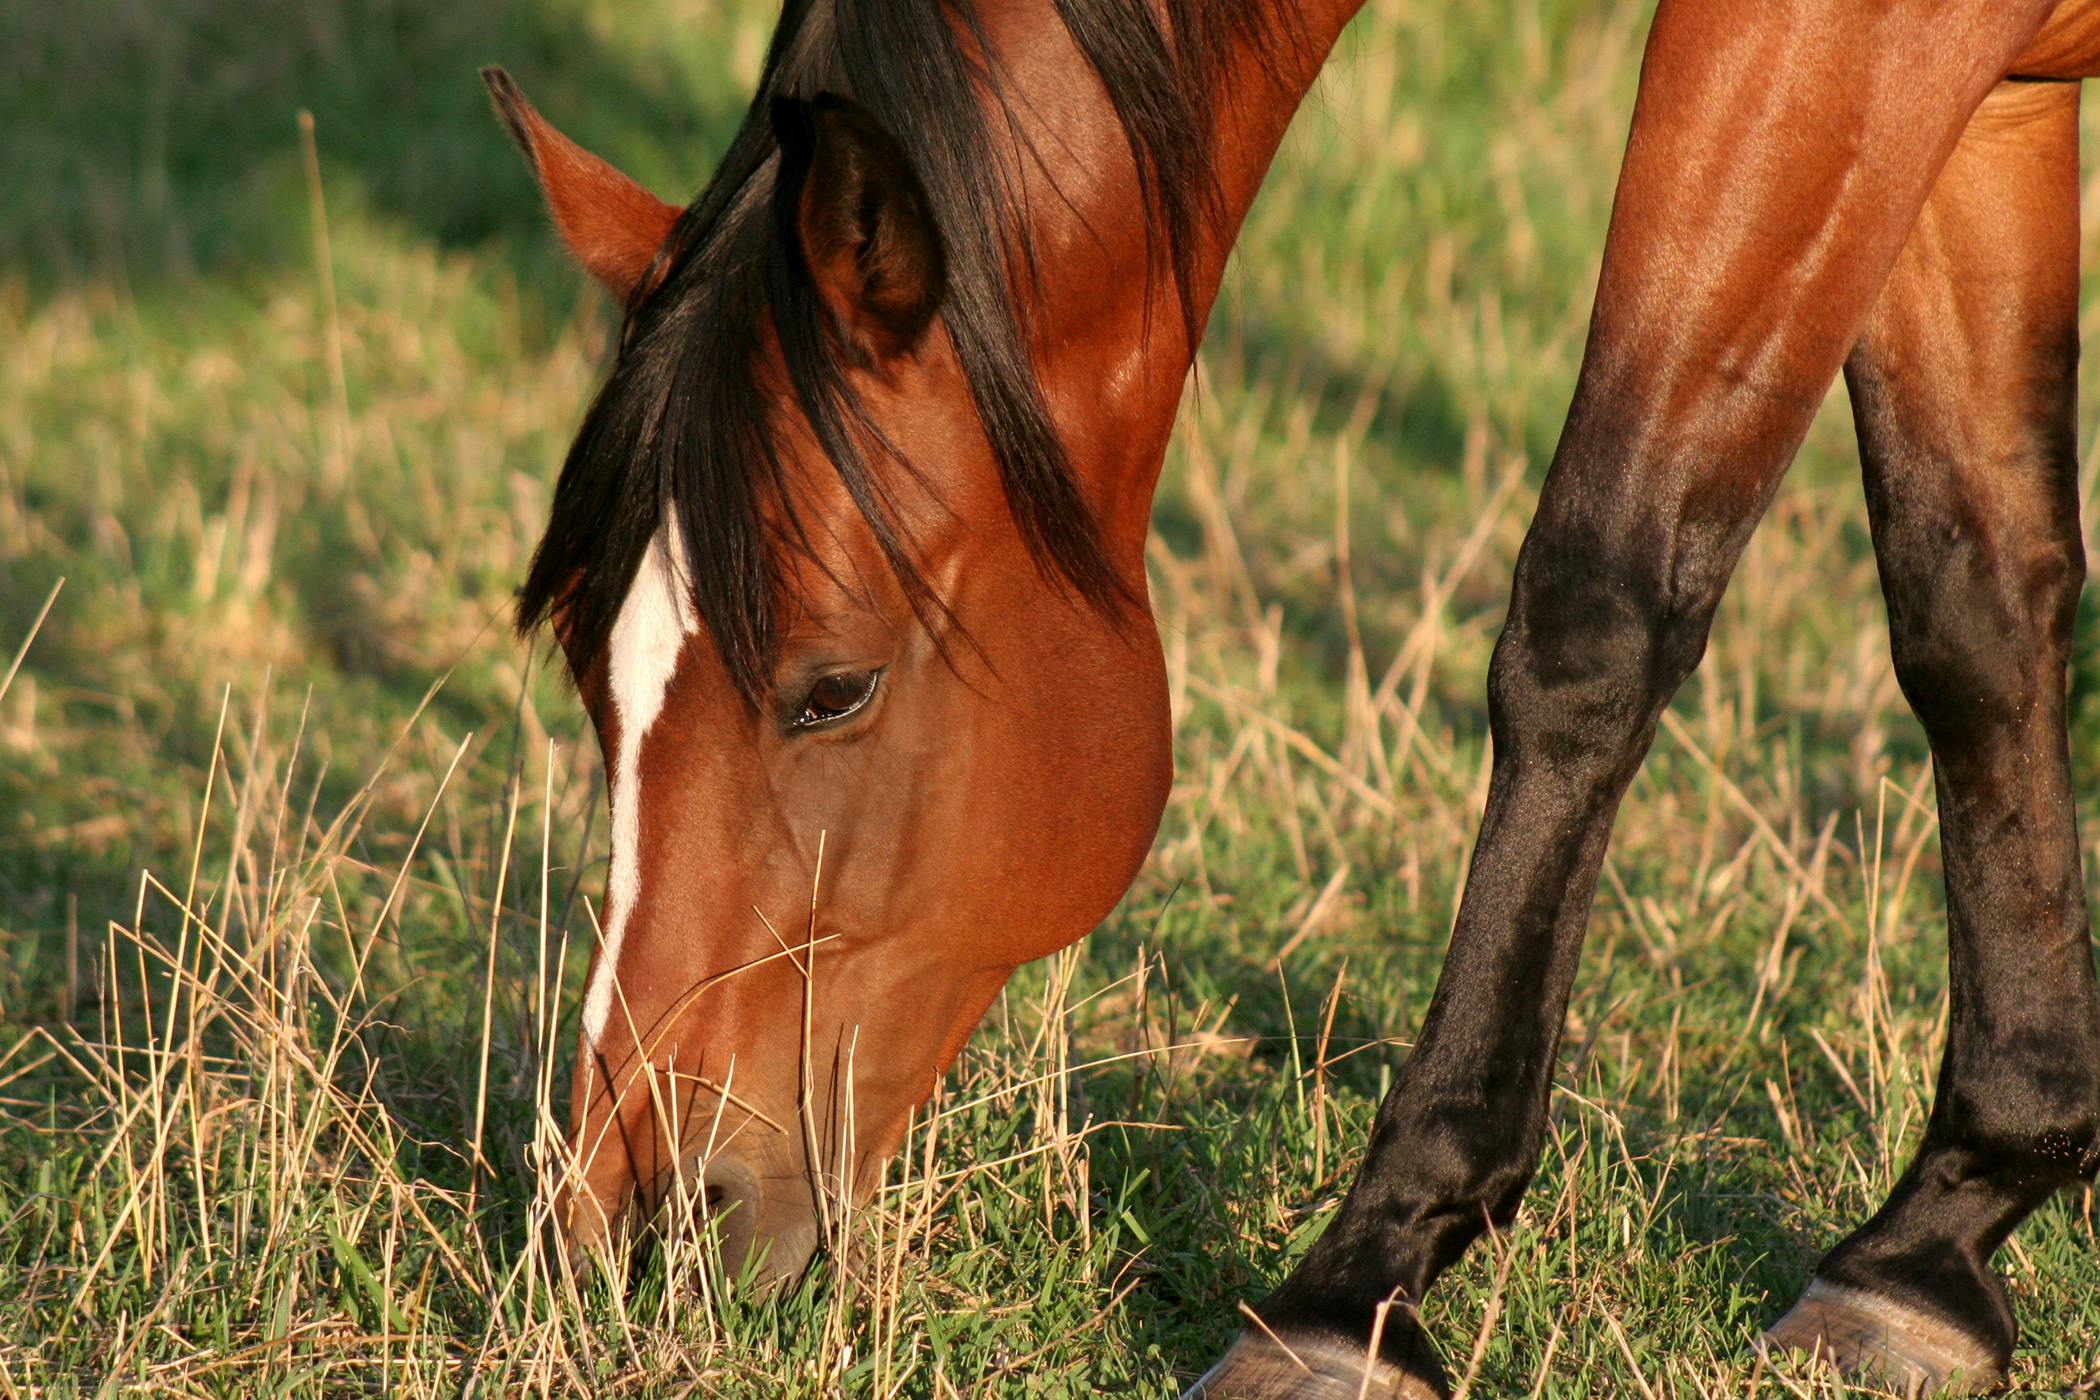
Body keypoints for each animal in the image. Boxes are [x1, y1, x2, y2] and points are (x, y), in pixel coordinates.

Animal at [482, 0, 2100, 1393]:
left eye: (833, 689)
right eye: (593, 685)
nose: (633, 1222)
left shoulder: (1835, 40)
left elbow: (1595, 611)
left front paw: (1356, 1290)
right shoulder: (1978, 90)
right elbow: (1976, 606)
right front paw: (1939, 1239)